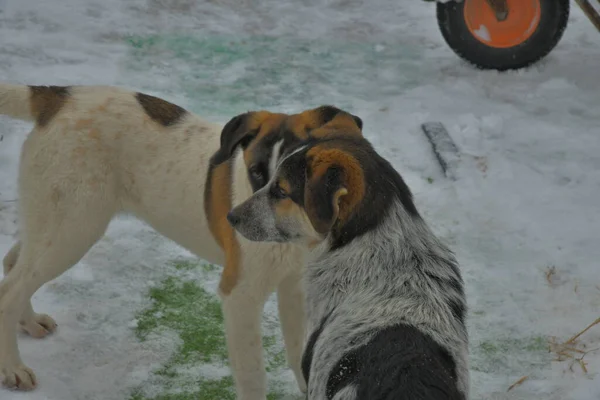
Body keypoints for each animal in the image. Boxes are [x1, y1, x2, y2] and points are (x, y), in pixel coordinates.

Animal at [0, 83, 364, 398]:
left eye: (295, 182)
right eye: (257, 173)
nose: (237, 220)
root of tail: (58, 98)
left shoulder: (294, 287)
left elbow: (301, 351)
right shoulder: (240, 296)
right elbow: (253, 377)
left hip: (55, 223)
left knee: (13, 263)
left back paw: (29, 322)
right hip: (73, 228)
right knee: (10, 290)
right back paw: (13, 368)